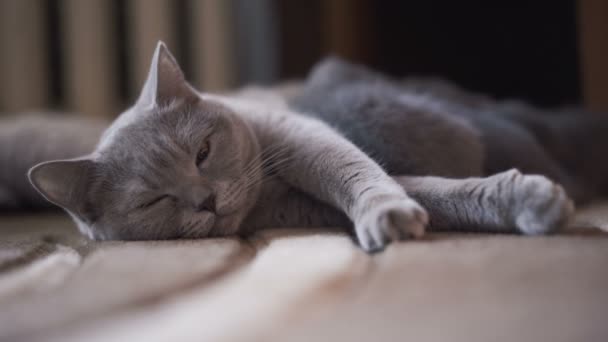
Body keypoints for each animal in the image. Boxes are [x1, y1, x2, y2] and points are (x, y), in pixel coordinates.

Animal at [5, 42, 604, 251]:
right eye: (153, 201)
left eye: (202, 153)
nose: (206, 201)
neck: (266, 192)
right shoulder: (301, 207)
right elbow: (434, 193)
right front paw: (528, 203)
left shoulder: (300, 135)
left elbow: (355, 171)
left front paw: (384, 213)